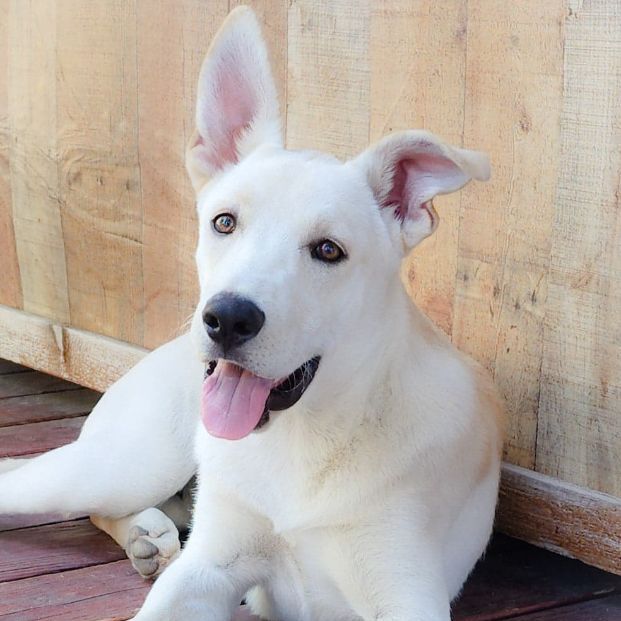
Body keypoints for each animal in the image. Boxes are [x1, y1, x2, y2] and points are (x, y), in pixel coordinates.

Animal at [0, 6, 504, 620]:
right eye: (224, 221)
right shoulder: (208, 569)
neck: (303, 442)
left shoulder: (408, 596)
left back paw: (146, 535)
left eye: (328, 250)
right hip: (122, 464)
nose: (227, 319)